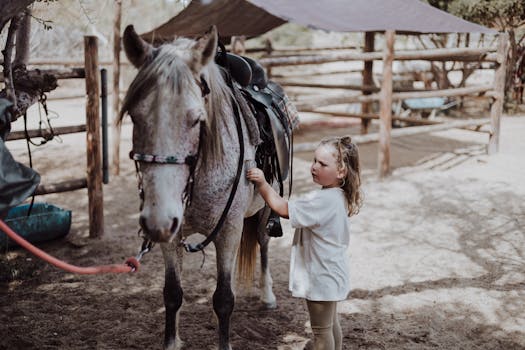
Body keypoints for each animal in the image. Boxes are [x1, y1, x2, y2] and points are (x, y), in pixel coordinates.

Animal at [119, 25, 278, 350]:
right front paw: (172, 342)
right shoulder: (172, 235)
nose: (157, 221)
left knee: (264, 243)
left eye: (196, 120)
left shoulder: (229, 231)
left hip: (265, 211)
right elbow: (172, 294)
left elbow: (224, 299)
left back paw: (267, 295)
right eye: (134, 117)